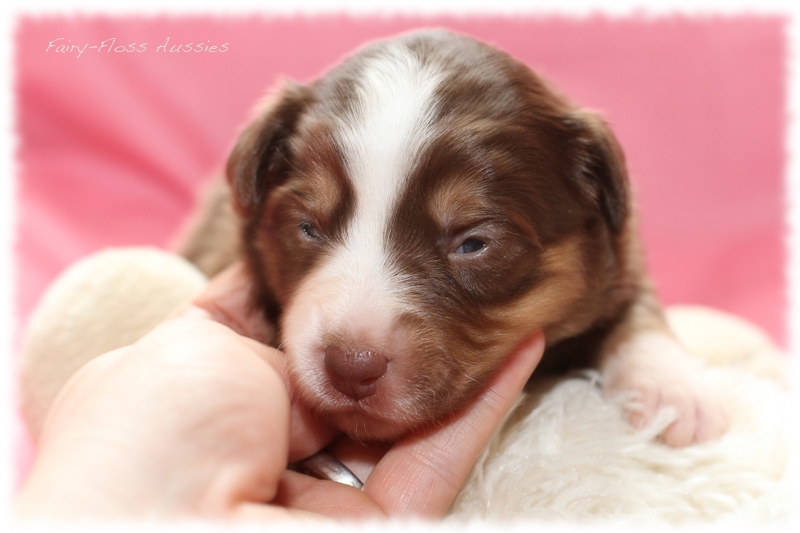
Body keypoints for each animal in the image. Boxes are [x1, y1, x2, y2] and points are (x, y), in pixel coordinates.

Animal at [180, 28, 724, 444]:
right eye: (308, 228)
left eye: (472, 243)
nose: (351, 366)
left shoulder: (620, 254)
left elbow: (636, 311)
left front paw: (673, 392)